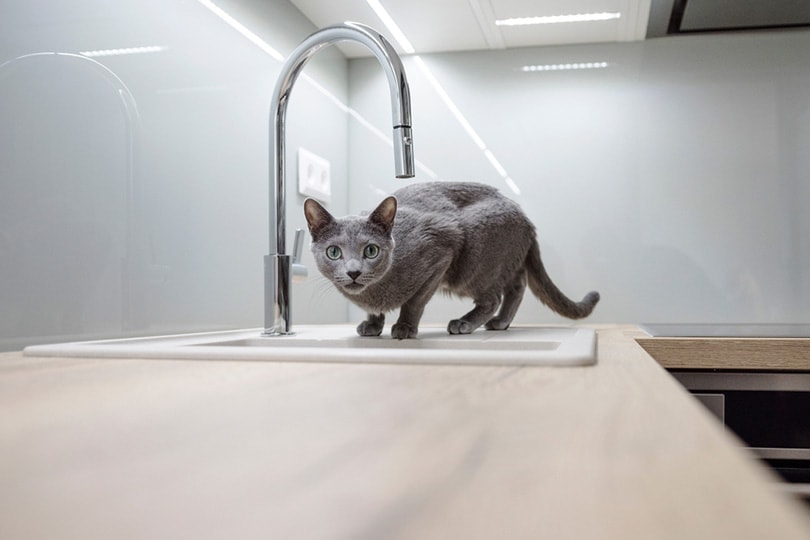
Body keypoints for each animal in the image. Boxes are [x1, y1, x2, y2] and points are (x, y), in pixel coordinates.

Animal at [304, 184, 600, 340]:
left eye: (371, 251)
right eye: (334, 252)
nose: (354, 272)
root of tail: (526, 219)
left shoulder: (440, 251)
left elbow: (414, 303)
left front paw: (405, 328)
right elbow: (373, 310)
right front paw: (373, 325)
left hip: (473, 264)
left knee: (493, 297)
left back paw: (465, 323)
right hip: (503, 261)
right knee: (517, 285)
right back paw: (501, 322)